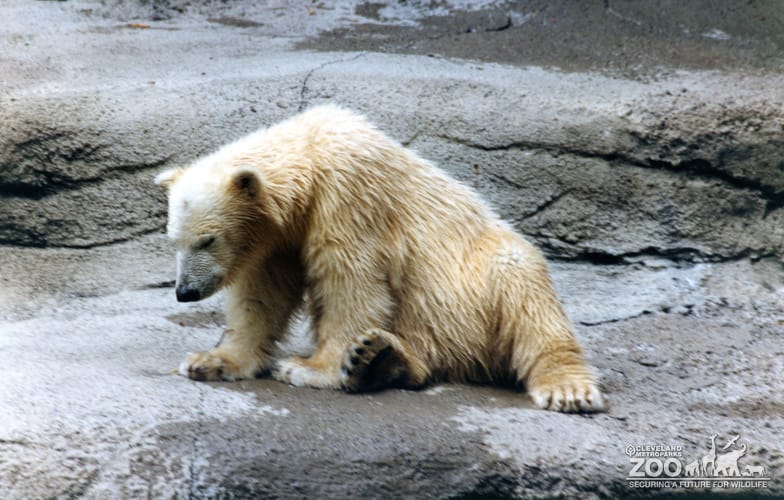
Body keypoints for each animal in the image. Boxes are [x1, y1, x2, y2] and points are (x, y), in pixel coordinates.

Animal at [155, 105, 604, 412]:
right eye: (174, 240)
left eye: (208, 240)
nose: (184, 292)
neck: (311, 154)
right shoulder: (280, 237)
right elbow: (263, 296)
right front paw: (211, 361)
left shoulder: (349, 197)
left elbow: (351, 283)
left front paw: (311, 369)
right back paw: (382, 359)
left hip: (481, 278)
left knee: (526, 294)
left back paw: (568, 389)